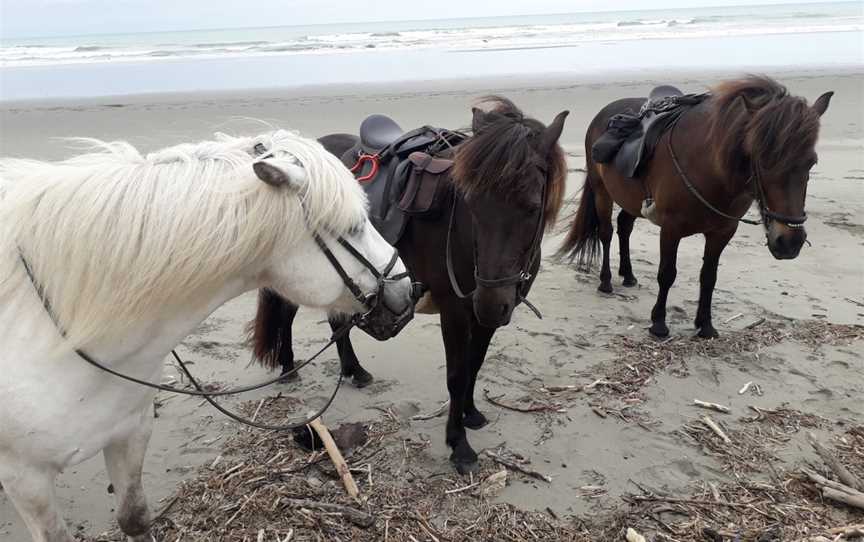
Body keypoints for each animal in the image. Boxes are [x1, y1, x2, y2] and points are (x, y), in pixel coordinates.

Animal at [248, 99, 568, 476]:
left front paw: (471, 414)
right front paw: (458, 444)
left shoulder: (487, 313)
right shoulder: (455, 311)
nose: (490, 302)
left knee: (336, 321)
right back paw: (288, 367)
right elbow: (457, 374)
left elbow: (475, 363)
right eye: (471, 204)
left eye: (532, 208)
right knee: (286, 314)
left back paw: (354, 370)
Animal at [556, 76, 832, 340]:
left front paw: (705, 326)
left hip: (631, 199)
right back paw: (606, 282)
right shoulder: (671, 228)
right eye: (761, 160)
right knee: (606, 233)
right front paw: (659, 324)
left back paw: (628, 274)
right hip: (602, 191)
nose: (790, 242)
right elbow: (667, 273)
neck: (710, 167)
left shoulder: (723, 232)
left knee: (624, 226)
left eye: (811, 163)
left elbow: (709, 277)